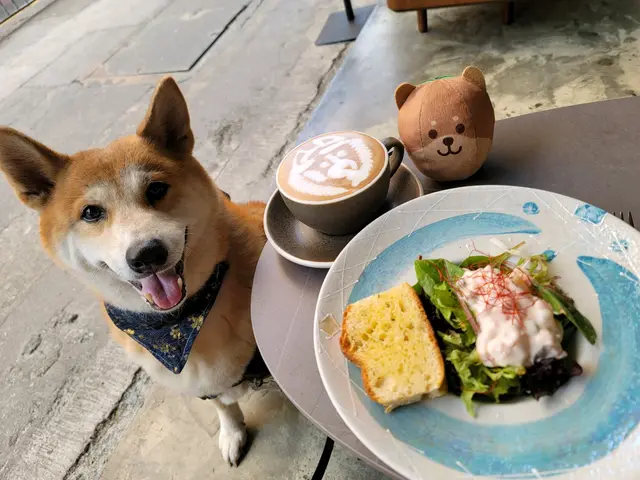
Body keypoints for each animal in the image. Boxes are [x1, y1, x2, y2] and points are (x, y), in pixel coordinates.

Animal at [0, 77, 267, 466]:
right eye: (91, 213)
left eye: (156, 189)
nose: (147, 254)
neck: (181, 324)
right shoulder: (201, 383)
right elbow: (222, 405)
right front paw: (232, 431)